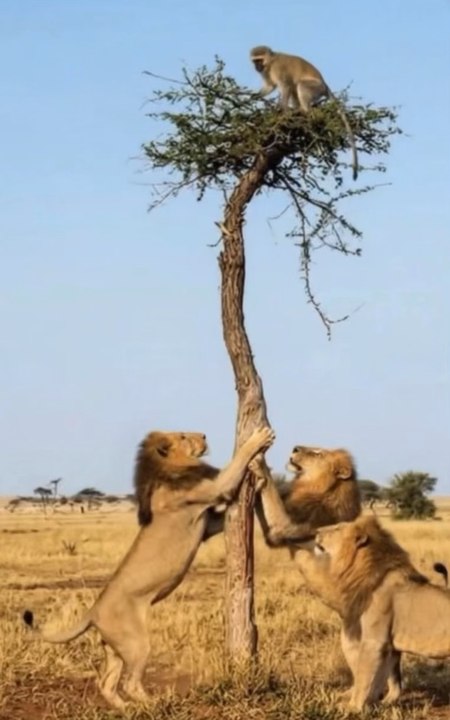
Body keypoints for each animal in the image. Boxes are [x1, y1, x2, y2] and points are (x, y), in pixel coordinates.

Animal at [250, 46, 358, 181]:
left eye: (259, 60)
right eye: (254, 61)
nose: (256, 67)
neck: (271, 62)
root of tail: (324, 84)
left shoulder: (278, 69)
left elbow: (285, 86)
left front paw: (283, 111)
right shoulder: (266, 73)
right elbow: (271, 86)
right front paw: (255, 96)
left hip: (316, 88)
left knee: (299, 86)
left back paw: (305, 112)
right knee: (294, 88)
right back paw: (298, 110)